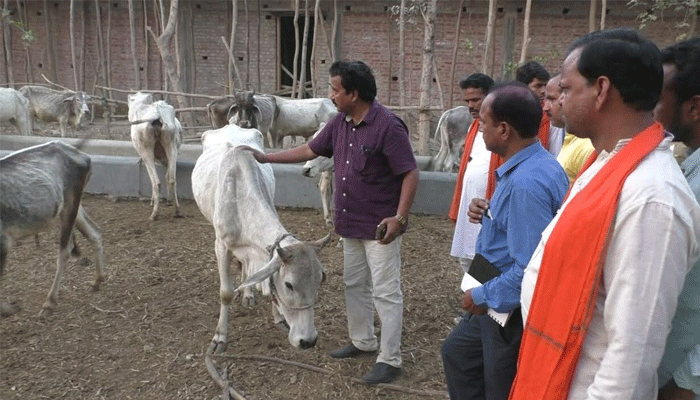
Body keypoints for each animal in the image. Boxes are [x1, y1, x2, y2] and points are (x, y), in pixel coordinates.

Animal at [0, 141, 105, 318]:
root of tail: (82, 155)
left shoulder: (3, 242)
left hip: (70, 207)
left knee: (65, 250)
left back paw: (49, 303)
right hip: (73, 207)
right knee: (94, 233)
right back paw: (97, 280)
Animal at [129, 92, 183, 220]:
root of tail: (158, 115)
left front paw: (153, 201)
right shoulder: (165, 159)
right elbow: (168, 176)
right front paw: (169, 200)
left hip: (147, 150)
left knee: (156, 182)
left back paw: (154, 213)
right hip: (171, 146)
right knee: (172, 179)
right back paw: (177, 210)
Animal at [193, 123, 332, 352]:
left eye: (320, 279)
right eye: (289, 285)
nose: (308, 340)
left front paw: (278, 318)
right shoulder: (221, 245)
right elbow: (226, 292)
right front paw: (220, 337)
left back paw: (248, 293)